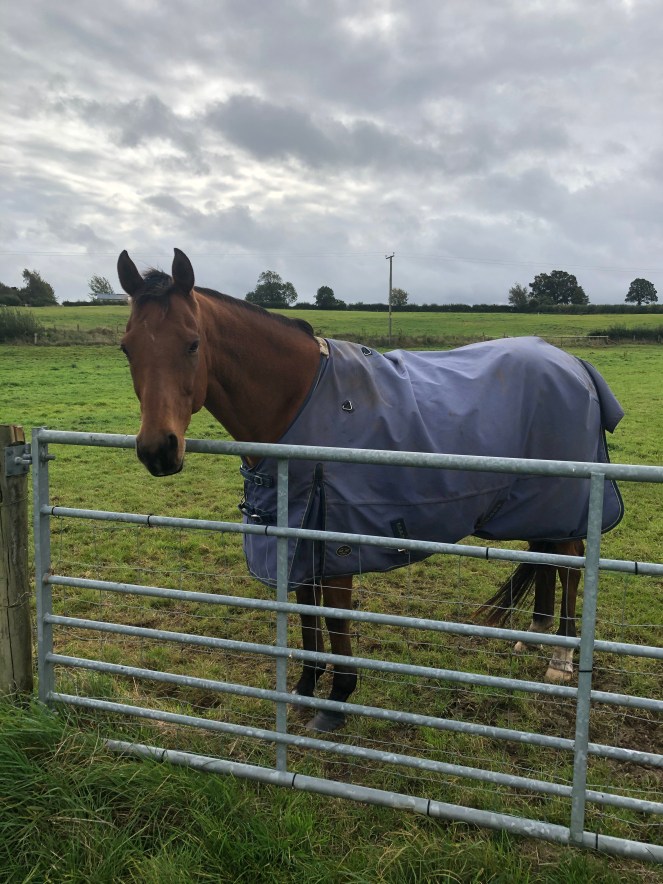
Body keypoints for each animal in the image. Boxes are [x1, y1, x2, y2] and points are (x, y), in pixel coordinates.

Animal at [117, 248, 624, 733]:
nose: (158, 450)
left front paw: (338, 699)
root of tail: (573, 363)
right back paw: (534, 635)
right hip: (540, 505)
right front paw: (304, 690)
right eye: (126, 348)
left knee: (570, 562)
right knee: (549, 557)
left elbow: (336, 618)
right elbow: (307, 615)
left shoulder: (338, 540)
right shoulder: (299, 540)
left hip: (567, 499)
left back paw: (561, 660)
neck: (300, 399)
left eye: (193, 343)